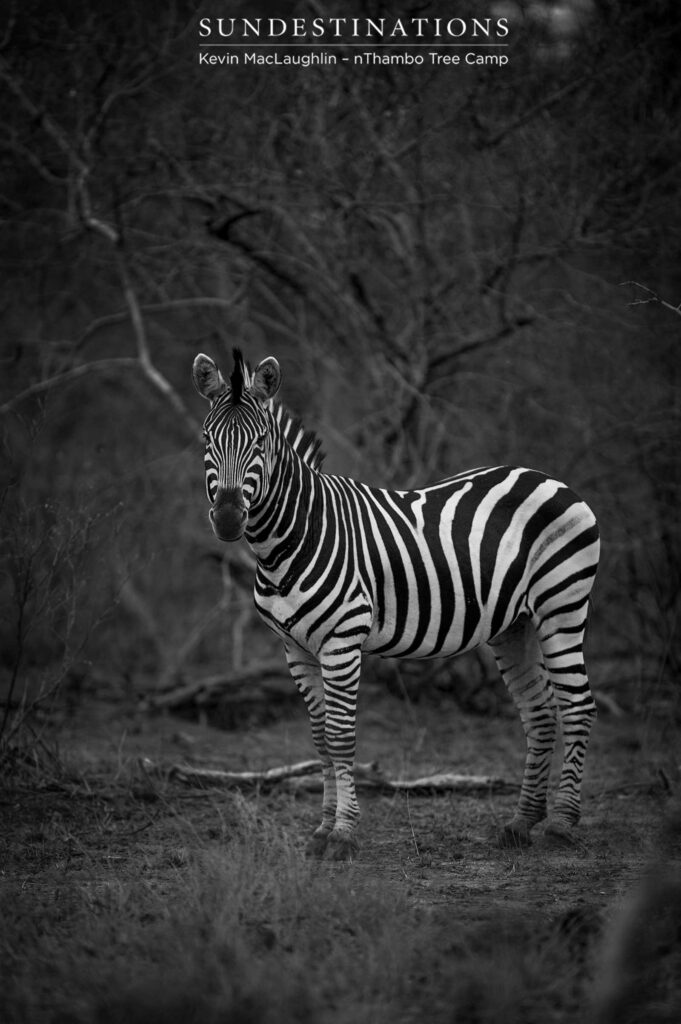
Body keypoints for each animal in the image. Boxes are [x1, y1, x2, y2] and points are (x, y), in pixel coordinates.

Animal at [192, 348, 600, 861]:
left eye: (261, 442)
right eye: (206, 438)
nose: (228, 518)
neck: (294, 537)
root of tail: (549, 479)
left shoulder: (342, 641)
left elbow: (342, 736)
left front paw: (343, 833)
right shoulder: (296, 648)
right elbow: (320, 737)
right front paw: (321, 831)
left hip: (561, 607)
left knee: (578, 705)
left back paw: (562, 825)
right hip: (515, 625)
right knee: (541, 711)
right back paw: (521, 823)